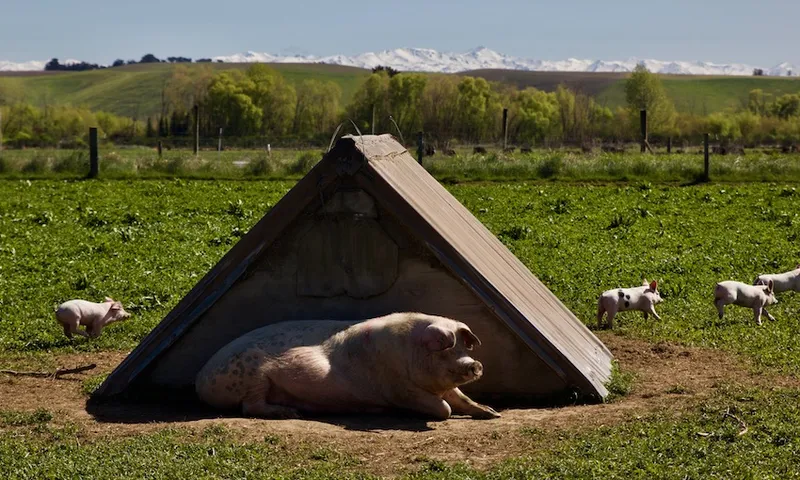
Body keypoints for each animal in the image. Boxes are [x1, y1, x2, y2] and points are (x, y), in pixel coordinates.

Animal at [195, 312, 501, 421]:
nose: (474, 364)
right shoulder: (399, 389)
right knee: (251, 406)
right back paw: (289, 413)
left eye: (463, 348)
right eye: (445, 349)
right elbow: (445, 408)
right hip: (252, 375)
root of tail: (201, 378)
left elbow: (461, 398)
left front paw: (492, 413)